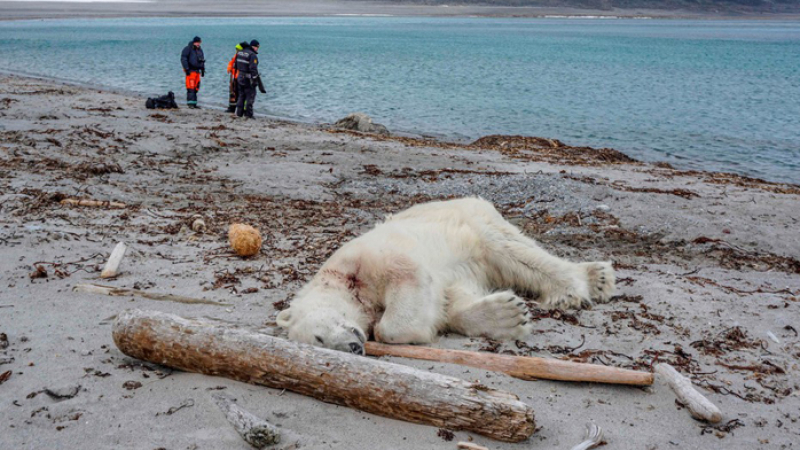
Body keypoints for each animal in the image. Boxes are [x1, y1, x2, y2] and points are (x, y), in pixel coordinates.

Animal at [277, 197, 615, 354]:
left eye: (318, 337)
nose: (354, 347)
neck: (344, 282)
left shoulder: (367, 259)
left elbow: (406, 283)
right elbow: (451, 300)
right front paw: (506, 315)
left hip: (474, 222)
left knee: (513, 252)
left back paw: (582, 284)